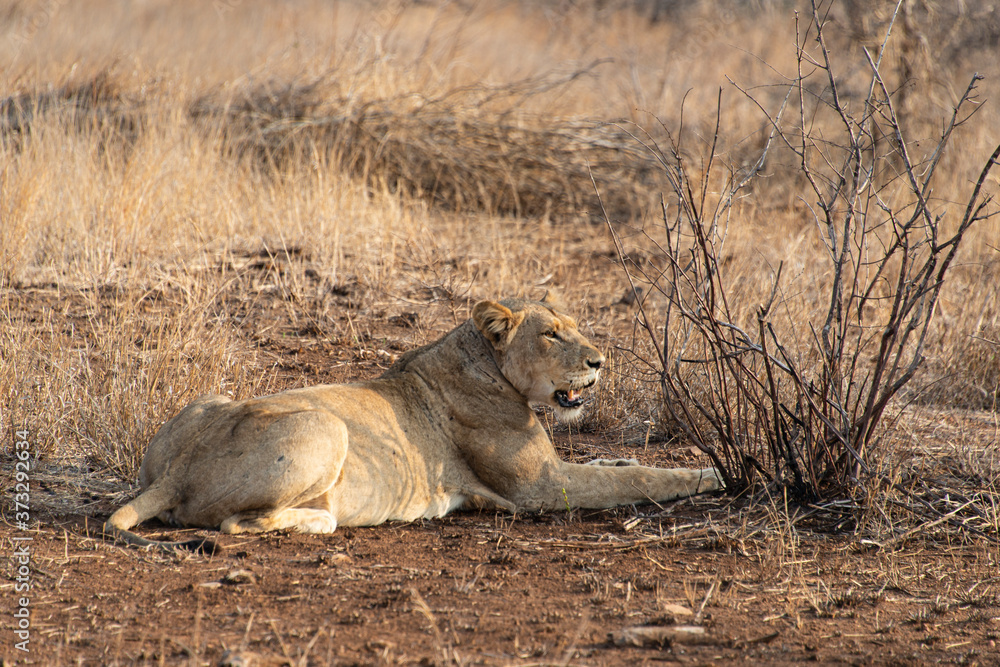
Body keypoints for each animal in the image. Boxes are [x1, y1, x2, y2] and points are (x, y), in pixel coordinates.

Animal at [104, 294, 721, 552]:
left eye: (574, 325)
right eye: (551, 334)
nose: (599, 361)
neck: (486, 361)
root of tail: (177, 471)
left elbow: (615, 462)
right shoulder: (541, 489)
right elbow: (637, 478)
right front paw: (712, 475)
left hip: (208, 401)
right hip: (328, 428)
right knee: (237, 523)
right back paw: (321, 520)